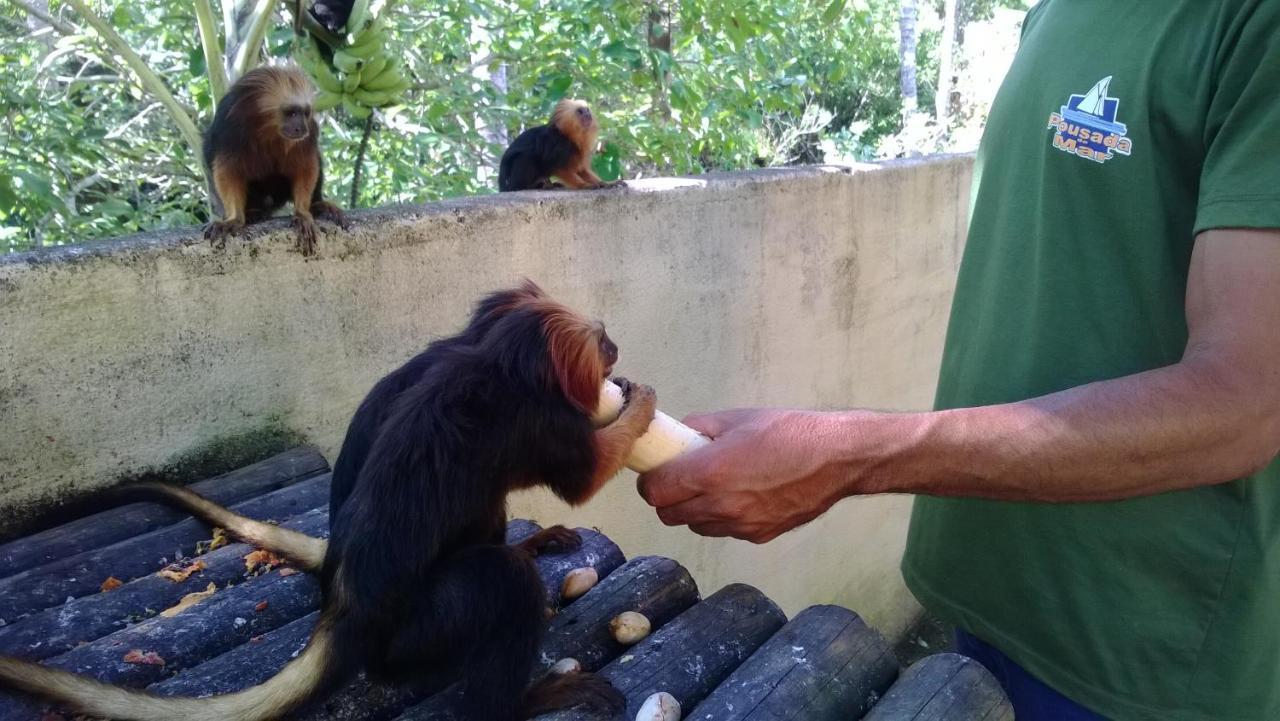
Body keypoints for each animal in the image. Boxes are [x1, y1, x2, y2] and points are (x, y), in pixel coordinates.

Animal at [2, 280, 660, 721]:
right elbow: (584, 477)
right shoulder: (543, 422)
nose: (617, 348)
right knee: (499, 583)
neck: (499, 366)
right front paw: (640, 407)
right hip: (416, 634)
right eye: (603, 344)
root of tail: (347, 610)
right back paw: (520, 697)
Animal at [202, 65, 348, 256]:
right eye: (291, 113)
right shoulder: (229, 128)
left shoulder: (309, 133)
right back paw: (254, 212)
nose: (301, 127)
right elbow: (227, 171)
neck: (267, 127)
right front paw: (234, 218)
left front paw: (302, 213)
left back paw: (317, 205)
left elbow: (306, 166)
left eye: (304, 113)